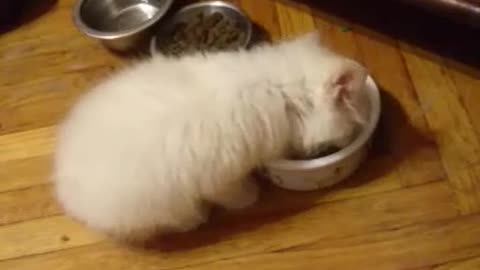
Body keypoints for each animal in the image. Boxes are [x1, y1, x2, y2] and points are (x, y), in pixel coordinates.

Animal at [51, 31, 368, 243]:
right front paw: (251, 197)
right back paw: (196, 219)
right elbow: (235, 194)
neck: (281, 92)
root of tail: (67, 194)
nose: (349, 139)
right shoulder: (220, 177)